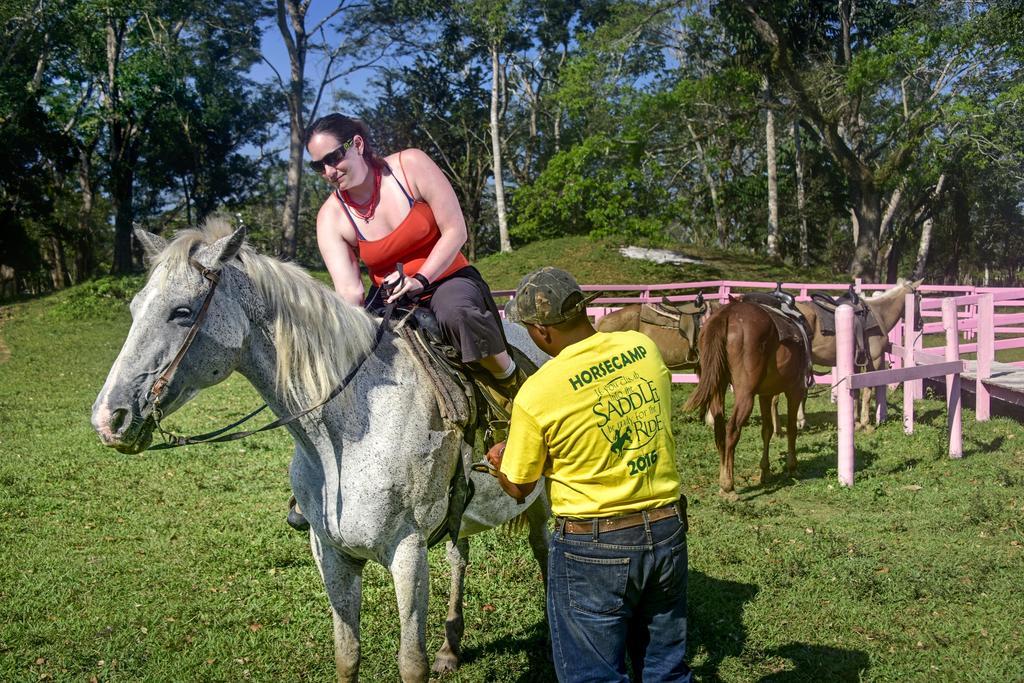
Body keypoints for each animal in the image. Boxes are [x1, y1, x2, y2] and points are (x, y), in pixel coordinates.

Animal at [92, 220, 552, 683]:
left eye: (182, 311)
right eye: (135, 309)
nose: (108, 419)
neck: (343, 440)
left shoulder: (408, 552)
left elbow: (411, 664)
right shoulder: (331, 554)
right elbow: (347, 654)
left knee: (543, 549)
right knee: (460, 558)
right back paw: (450, 648)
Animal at [688, 301, 806, 493]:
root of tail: (726, 314)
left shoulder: (765, 395)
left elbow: (766, 430)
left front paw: (765, 471)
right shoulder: (795, 390)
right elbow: (791, 429)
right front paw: (792, 467)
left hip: (718, 387)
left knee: (720, 428)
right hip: (745, 395)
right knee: (732, 429)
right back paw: (728, 485)